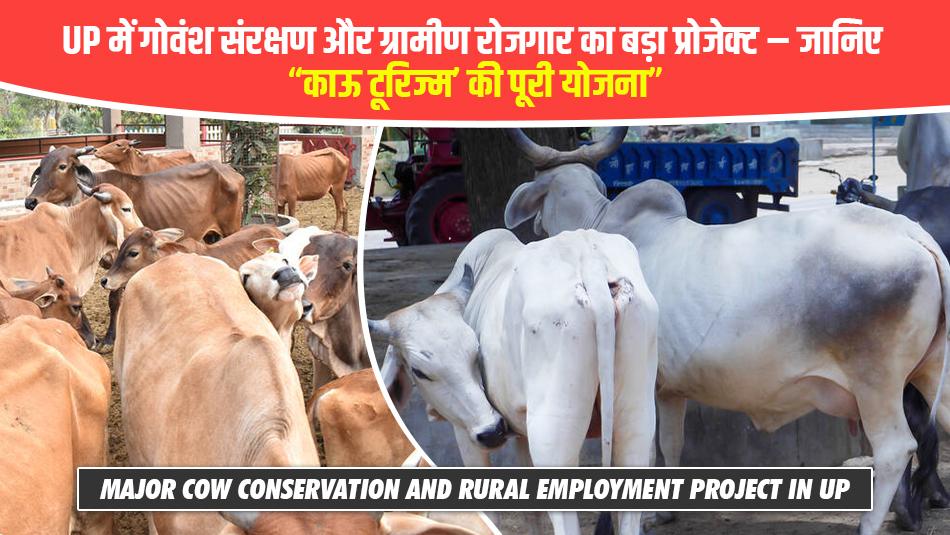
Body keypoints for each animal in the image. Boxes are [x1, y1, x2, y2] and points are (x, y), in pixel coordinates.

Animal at [370, 228, 659, 535]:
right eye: (419, 370)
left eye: (475, 352)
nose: (493, 430)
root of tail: (588, 257)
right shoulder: (520, 432)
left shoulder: (467, 434)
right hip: (636, 421)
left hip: (553, 433)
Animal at [503, 127, 950, 535]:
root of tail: (912, 234)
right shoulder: (668, 389)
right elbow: (672, 443)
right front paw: (664, 512)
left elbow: (643, 452)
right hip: (932, 372)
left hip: (876, 380)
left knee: (894, 448)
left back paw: (869, 524)